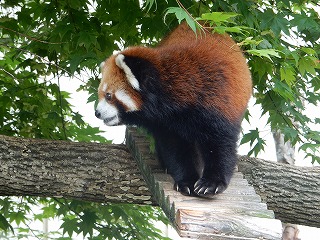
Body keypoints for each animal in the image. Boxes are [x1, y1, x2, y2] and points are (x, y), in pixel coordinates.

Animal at [95, 22, 252, 198]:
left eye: (108, 96)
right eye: (101, 94)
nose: (97, 113)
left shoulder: (218, 103)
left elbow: (220, 145)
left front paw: (212, 183)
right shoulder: (166, 124)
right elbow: (175, 150)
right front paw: (187, 181)